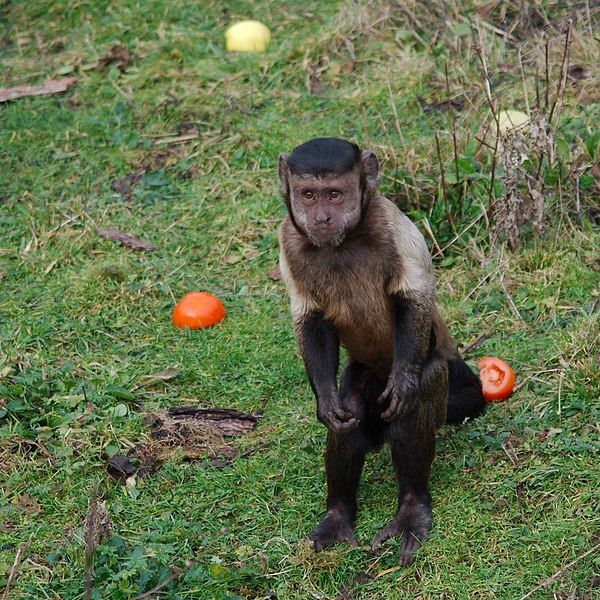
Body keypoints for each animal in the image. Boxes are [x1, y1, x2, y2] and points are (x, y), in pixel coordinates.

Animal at [278, 137, 486, 568]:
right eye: (309, 195)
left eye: (334, 194)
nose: (322, 217)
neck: (343, 242)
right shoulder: (287, 239)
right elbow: (310, 320)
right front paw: (325, 401)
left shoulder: (394, 226)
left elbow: (412, 298)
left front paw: (405, 383)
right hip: (365, 377)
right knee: (352, 414)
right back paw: (338, 515)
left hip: (437, 375)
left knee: (417, 398)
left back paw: (411, 508)